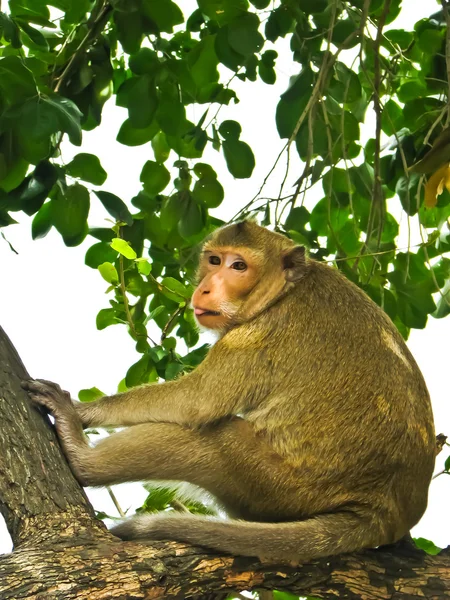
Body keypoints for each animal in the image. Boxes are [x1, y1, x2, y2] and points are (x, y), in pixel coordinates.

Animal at [23, 220, 436, 564]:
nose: (205, 287)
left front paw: (82, 411)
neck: (285, 290)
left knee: (217, 437)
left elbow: (196, 401)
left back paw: (83, 459)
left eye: (239, 267)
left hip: (283, 486)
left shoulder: (258, 335)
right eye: (214, 260)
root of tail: (382, 512)